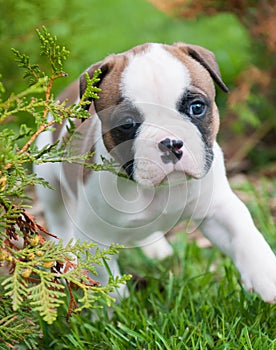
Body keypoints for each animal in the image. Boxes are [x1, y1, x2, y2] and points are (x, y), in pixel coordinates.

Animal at [34, 42, 276, 302]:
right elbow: (107, 282)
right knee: (58, 218)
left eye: (196, 108)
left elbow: (244, 234)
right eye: (127, 123)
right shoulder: (96, 239)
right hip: (48, 183)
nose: (171, 143)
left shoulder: (219, 209)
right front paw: (118, 308)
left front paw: (266, 276)